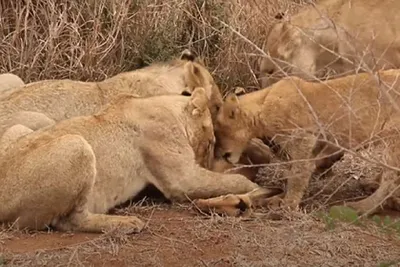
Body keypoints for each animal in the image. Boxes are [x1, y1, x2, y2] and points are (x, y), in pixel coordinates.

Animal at [0, 87, 282, 232]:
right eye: (211, 141)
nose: (209, 161)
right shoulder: (183, 179)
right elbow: (236, 180)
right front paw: (255, 190)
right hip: (76, 145)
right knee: (68, 221)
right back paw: (126, 223)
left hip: (21, 128)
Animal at [212, 69, 400, 216]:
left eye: (218, 131)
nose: (219, 154)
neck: (262, 105)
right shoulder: (314, 145)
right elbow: (296, 171)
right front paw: (279, 197)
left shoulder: (303, 137)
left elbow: (298, 172)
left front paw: (288, 205)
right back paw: (372, 186)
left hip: (393, 137)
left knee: (390, 180)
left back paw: (361, 207)